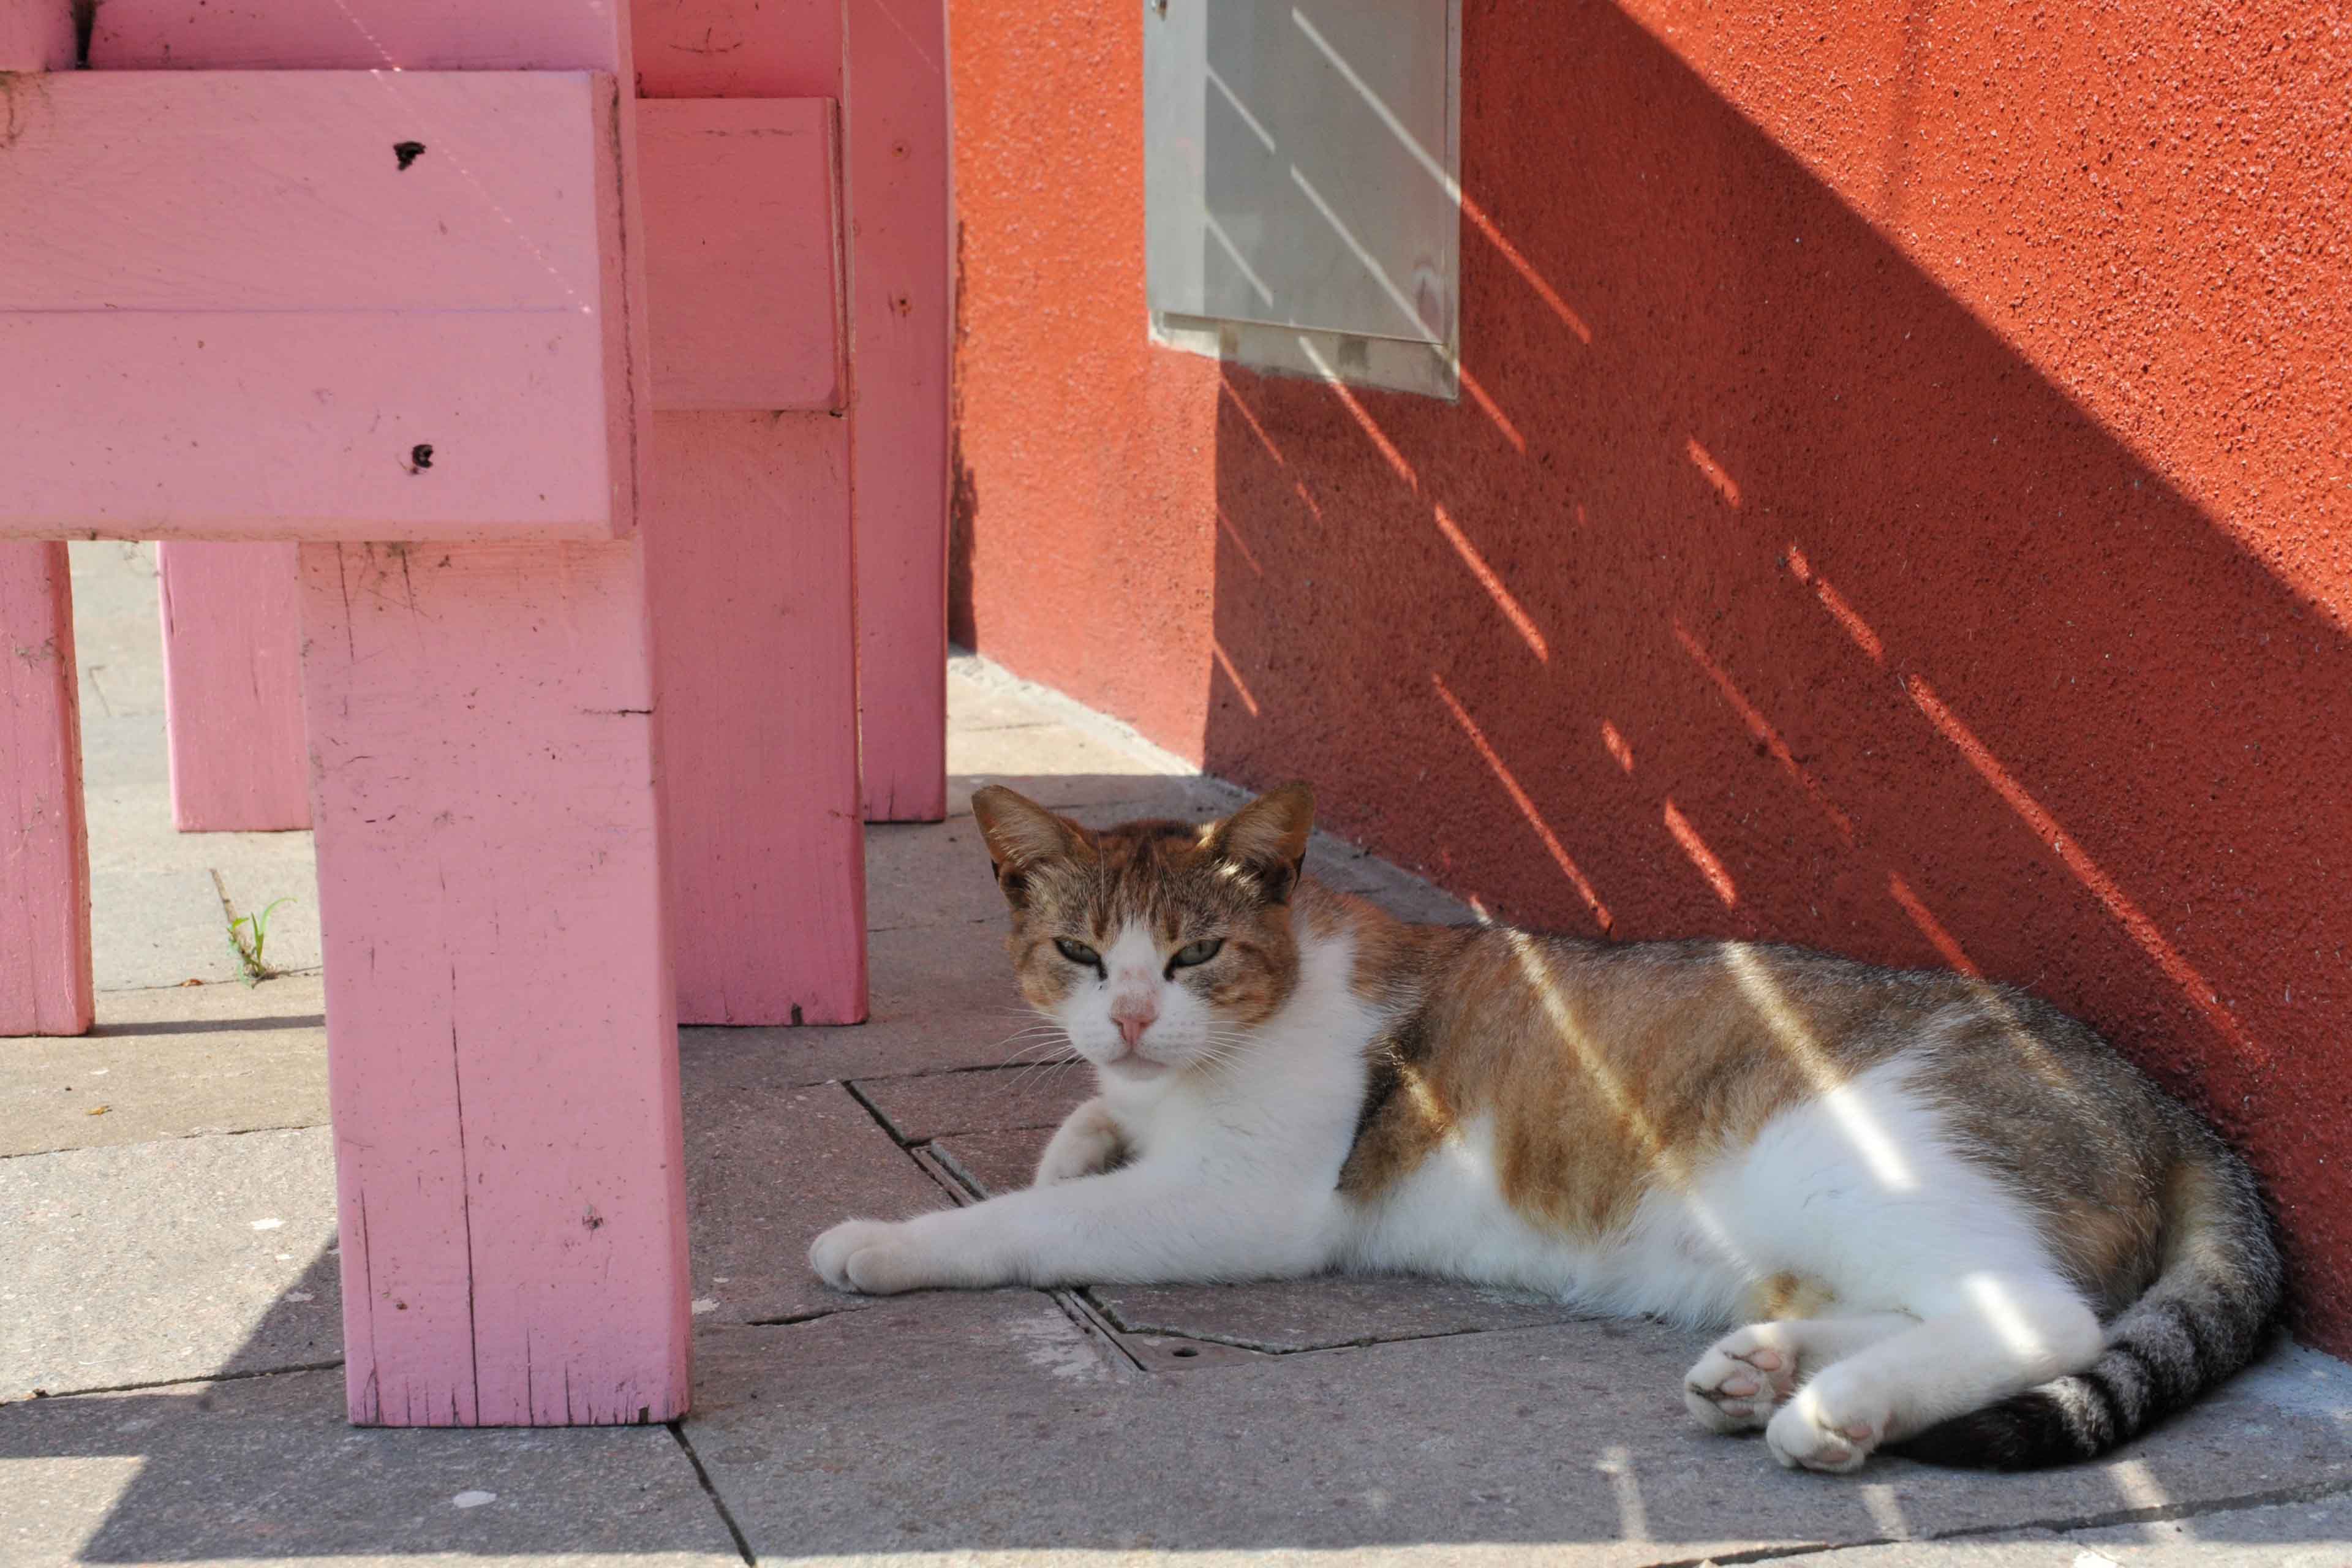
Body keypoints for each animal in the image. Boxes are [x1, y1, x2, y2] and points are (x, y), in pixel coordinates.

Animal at [809, 785, 2277, 1476]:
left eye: (1194, 955)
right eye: (1077, 952)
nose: (1123, 1016)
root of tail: (2173, 1102)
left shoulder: (1246, 1201)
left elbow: (1033, 1220)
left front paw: (888, 1240)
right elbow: (1080, 1134)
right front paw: (1086, 1122)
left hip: (1850, 1153)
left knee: (2044, 1318)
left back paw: (1832, 1405)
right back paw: (1765, 1373)